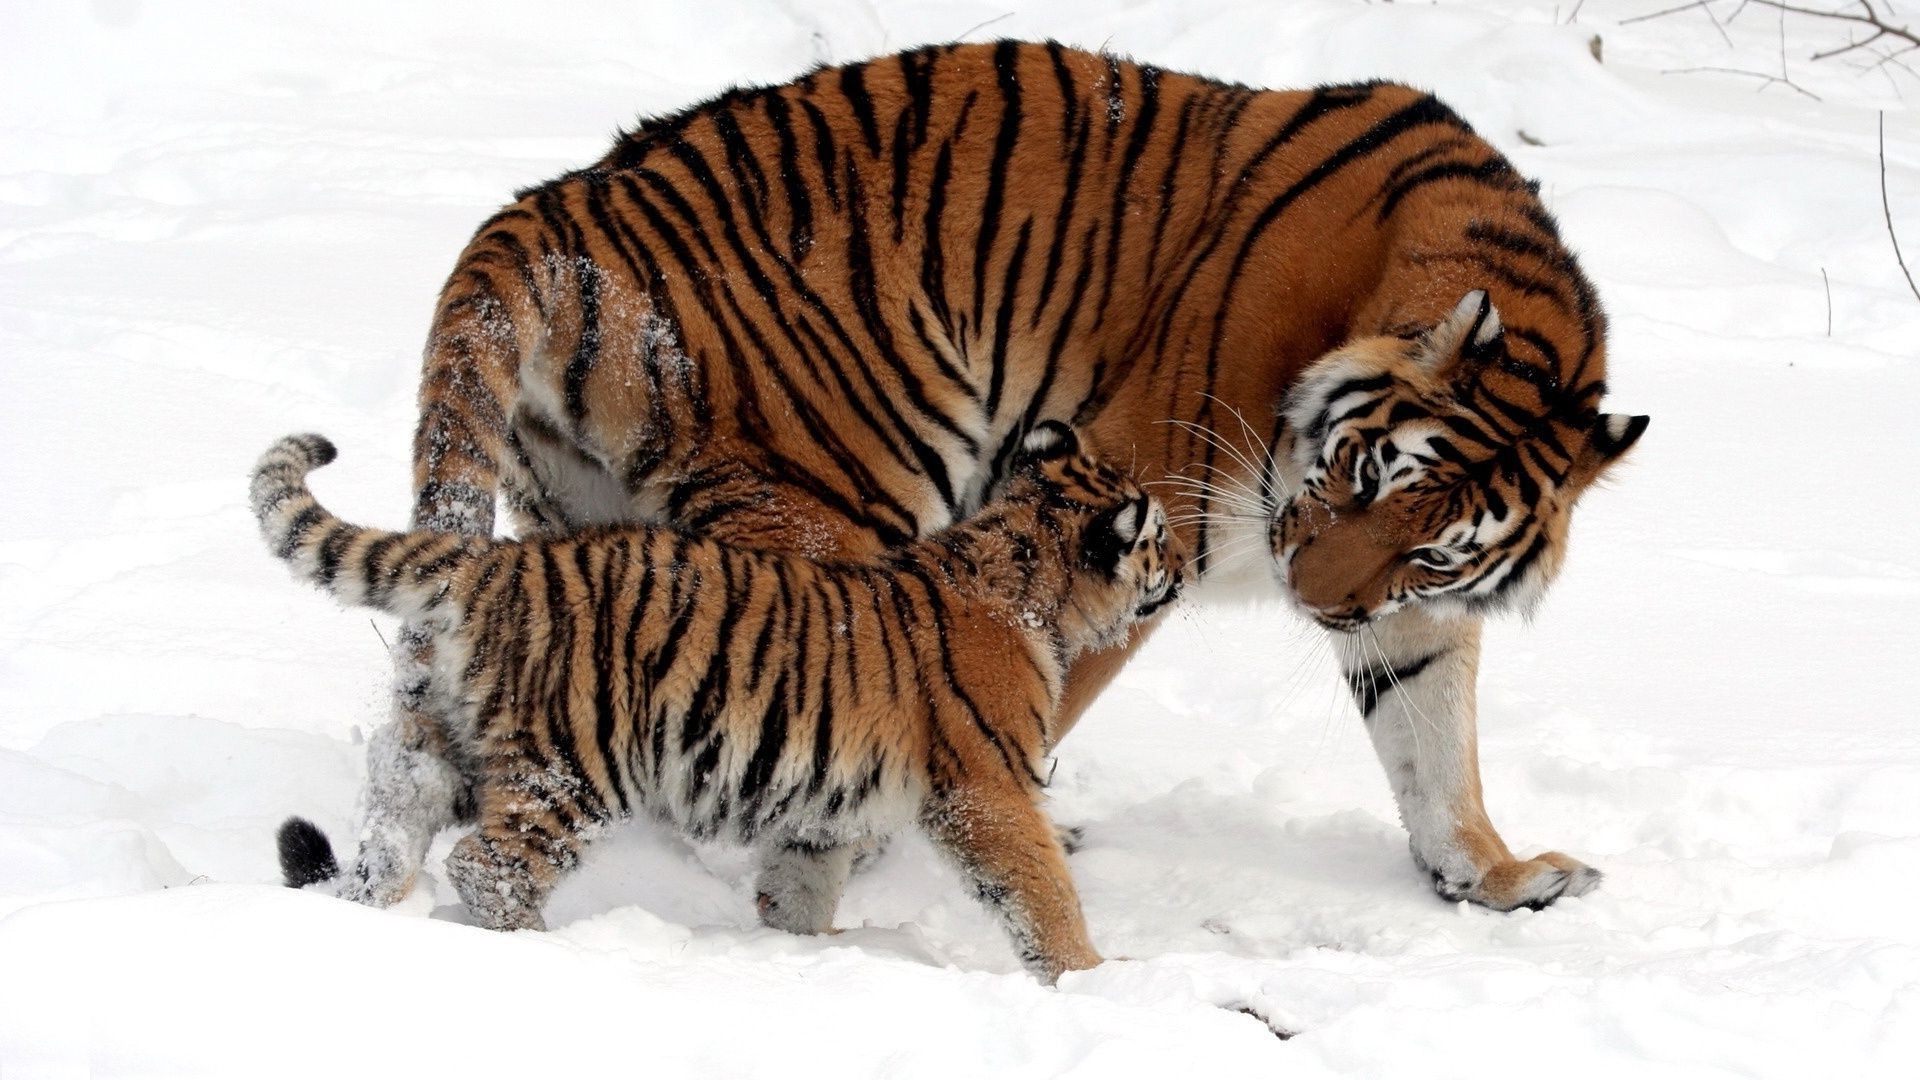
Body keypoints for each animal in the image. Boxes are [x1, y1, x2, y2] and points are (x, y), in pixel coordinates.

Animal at [322, 39, 1643, 914]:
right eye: (1364, 473)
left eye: (1435, 546)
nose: (1315, 605)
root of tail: (555, 207)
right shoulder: (1134, 508)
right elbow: (1031, 698)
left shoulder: (1403, 610)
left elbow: (1433, 738)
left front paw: (1494, 876)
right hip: (837, 496)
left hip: (579, 521)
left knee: (439, 719)